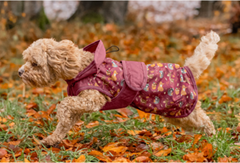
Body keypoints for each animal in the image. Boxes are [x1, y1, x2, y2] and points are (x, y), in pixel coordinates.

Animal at [19, 30, 220, 145]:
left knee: (205, 120)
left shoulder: (93, 98)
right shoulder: (80, 105)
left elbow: (65, 104)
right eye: (26, 60)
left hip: (183, 107)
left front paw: (59, 114)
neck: (81, 67)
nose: (20, 72)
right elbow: (64, 123)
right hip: (176, 114)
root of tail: (188, 68)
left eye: (34, 63)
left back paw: (213, 137)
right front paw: (51, 140)